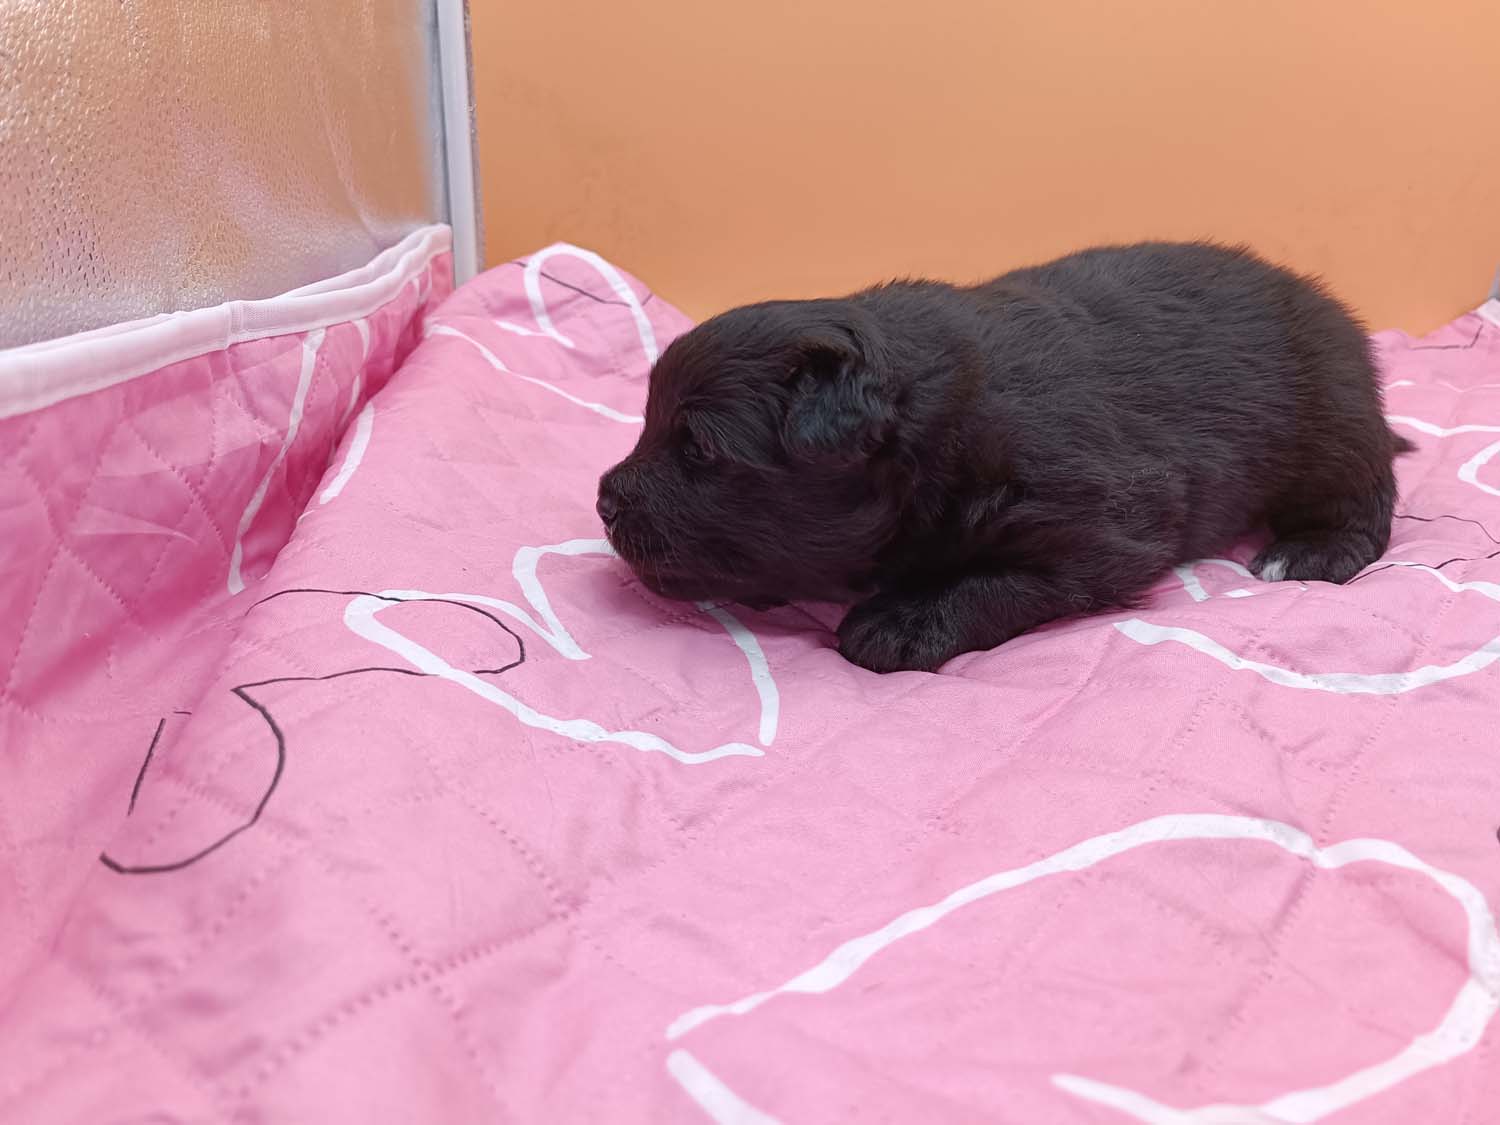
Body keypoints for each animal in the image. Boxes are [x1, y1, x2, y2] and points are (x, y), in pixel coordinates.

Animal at [597, 241, 1412, 673]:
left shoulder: (1104, 523)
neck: (936, 425)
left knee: (1368, 496)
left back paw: (1309, 550)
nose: (603, 499)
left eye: (699, 449)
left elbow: (1000, 582)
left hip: (1329, 421)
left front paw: (905, 618)